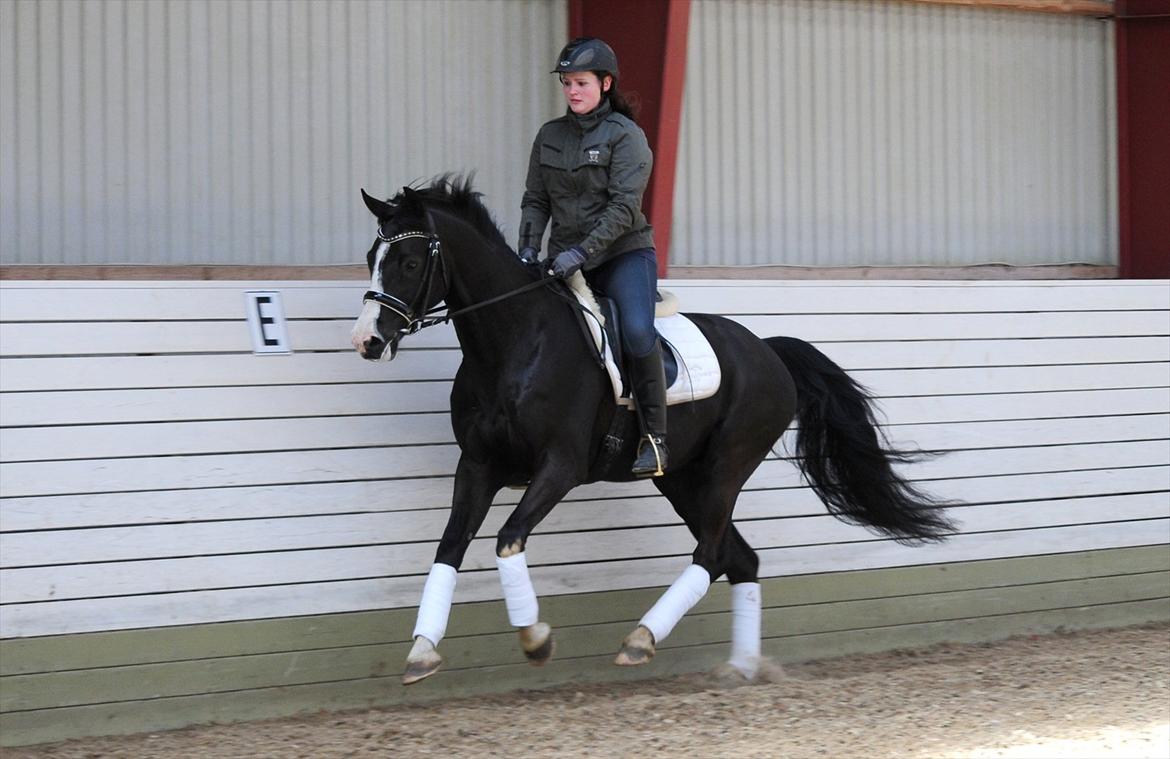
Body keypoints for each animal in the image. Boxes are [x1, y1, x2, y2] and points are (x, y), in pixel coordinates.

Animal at [348, 174, 950, 682]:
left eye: (408, 262)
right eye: (372, 257)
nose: (368, 342)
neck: (515, 343)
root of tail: (768, 351)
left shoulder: (560, 467)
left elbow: (508, 538)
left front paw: (536, 639)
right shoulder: (477, 465)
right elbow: (450, 546)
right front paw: (422, 650)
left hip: (725, 469)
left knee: (712, 555)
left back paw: (641, 641)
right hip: (681, 479)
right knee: (740, 559)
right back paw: (740, 669)